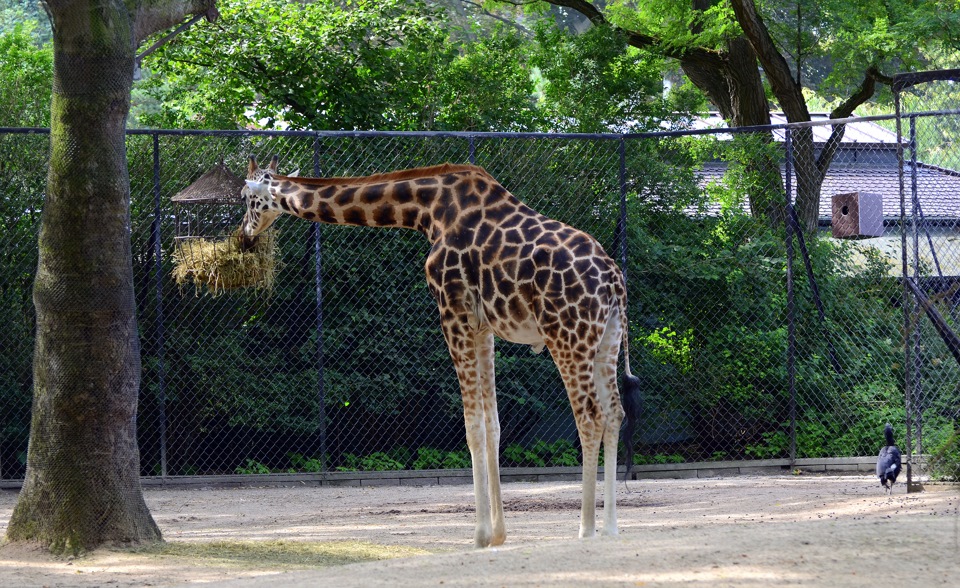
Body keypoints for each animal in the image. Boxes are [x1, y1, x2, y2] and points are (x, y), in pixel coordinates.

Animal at [240, 156, 644, 548]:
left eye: (247, 198)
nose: (245, 234)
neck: (428, 210)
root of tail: (615, 282)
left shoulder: (451, 311)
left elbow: (471, 427)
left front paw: (479, 536)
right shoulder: (483, 327)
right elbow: (493, 425)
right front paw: (499, 534)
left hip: (567, 336)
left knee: (590, 417)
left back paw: (586, 530)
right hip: (606, 340)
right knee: (615, 413)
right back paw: (611, 528)